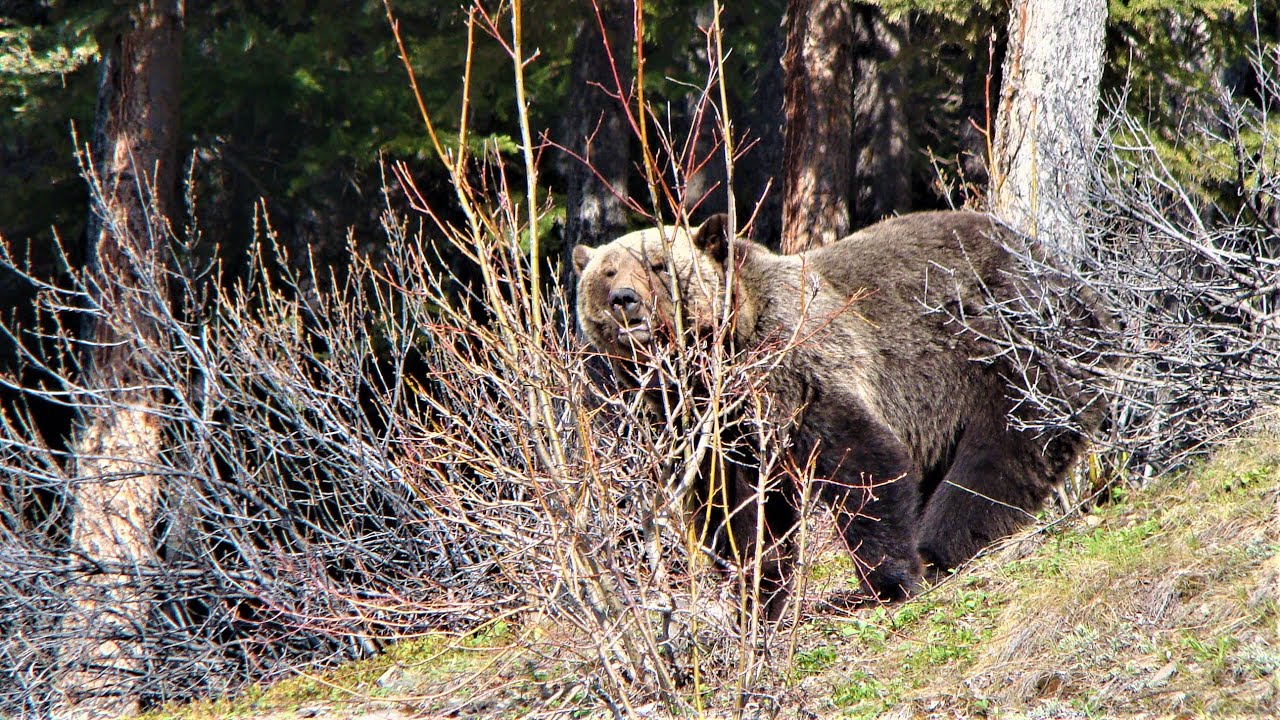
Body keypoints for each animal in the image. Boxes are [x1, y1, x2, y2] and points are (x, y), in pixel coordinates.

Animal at [572, 210, 1109, 619]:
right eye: (606, 272)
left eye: (659, 264)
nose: (625, 300)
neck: (720, 360)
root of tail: (1060, 268)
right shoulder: (709, 423)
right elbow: (734, 508)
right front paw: (756, 595)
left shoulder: (799, 362)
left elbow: (862, 459)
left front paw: (892, 579)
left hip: (1008, 342)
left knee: (1008, 443)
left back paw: (940, 545)